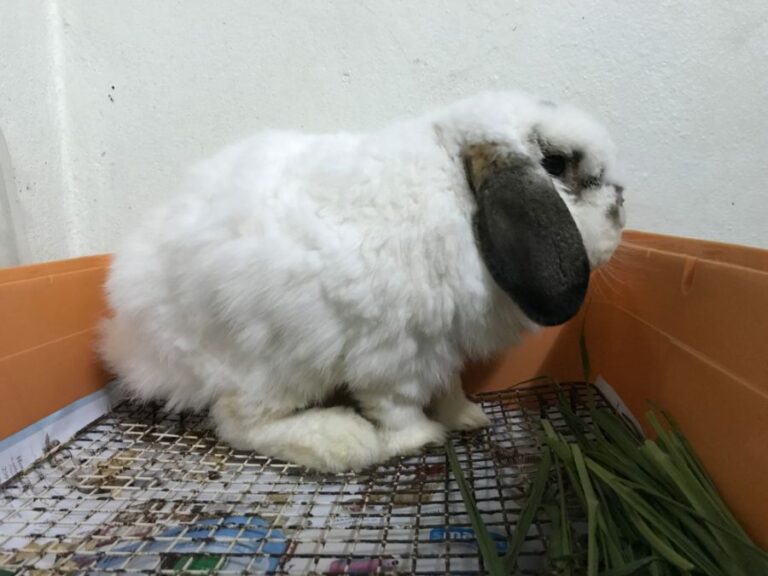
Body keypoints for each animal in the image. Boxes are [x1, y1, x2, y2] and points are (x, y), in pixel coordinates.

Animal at [101, 91, 625, 472]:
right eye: (556, 164)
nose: (621, 206)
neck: (459, 198)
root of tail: (136, 341)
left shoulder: (442, 346)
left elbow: (450, 387)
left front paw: (469, 418)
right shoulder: (396, 356)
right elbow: (398, 405)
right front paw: (421, 438)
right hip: (276, 364)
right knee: (237, 421)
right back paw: (343, 440)